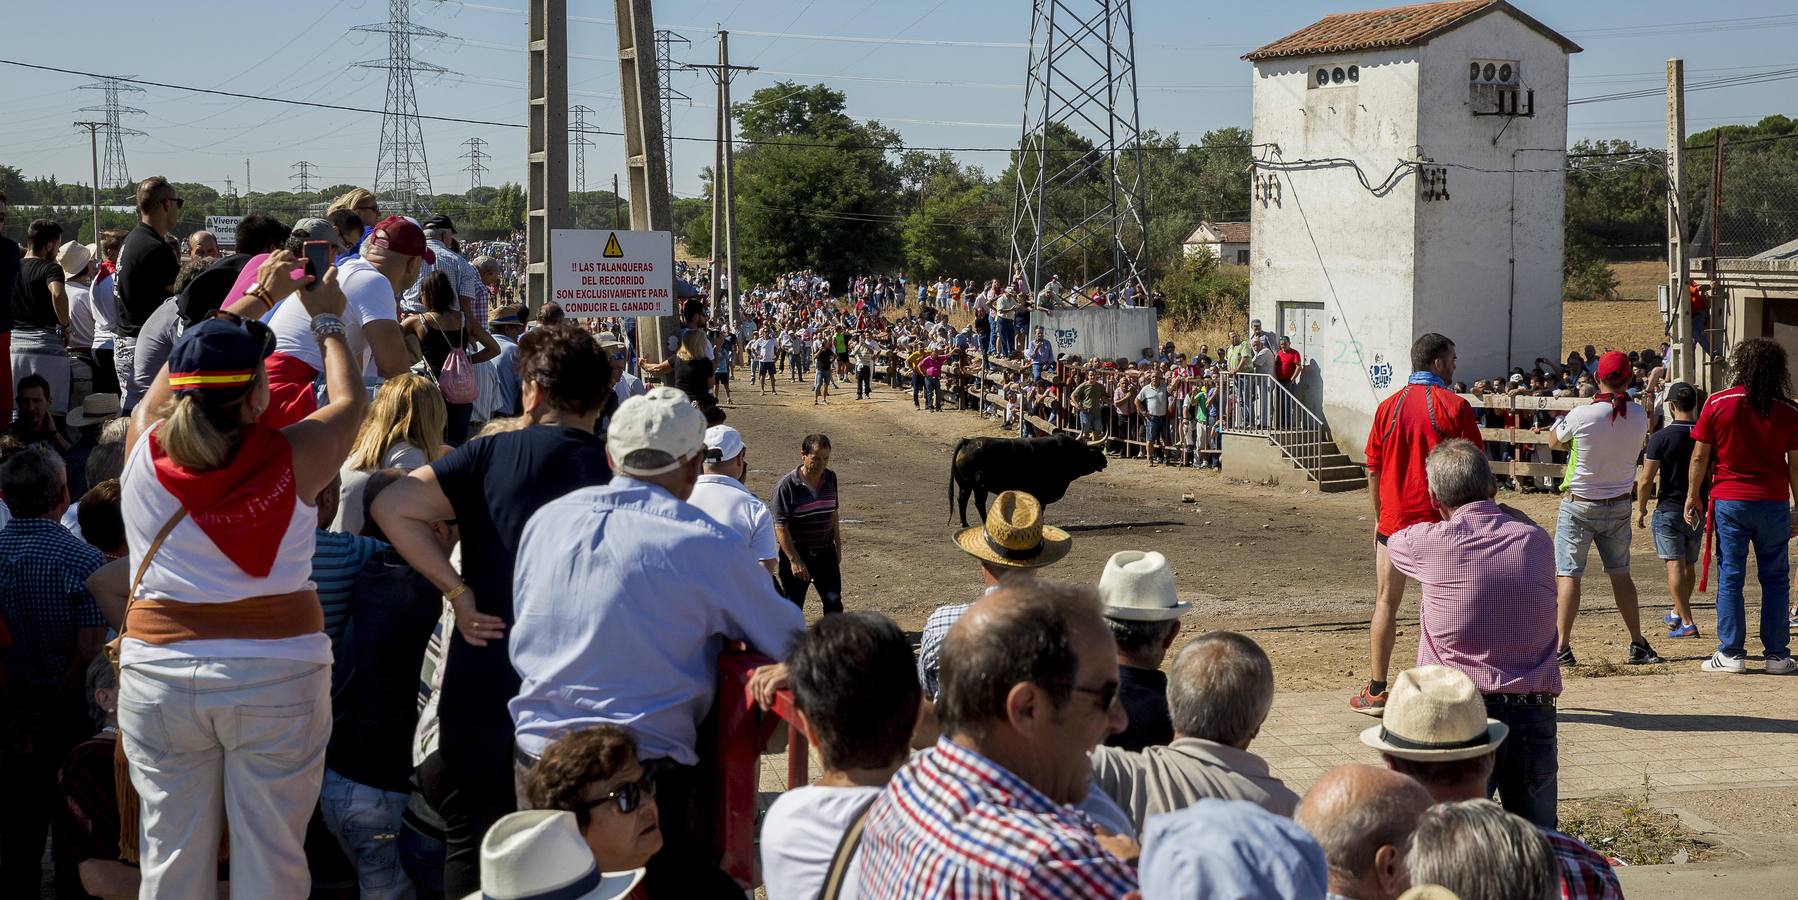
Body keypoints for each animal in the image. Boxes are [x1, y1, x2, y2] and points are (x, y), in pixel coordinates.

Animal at [949, 432, 1100, 524]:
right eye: (1094, 451)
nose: (1104, 460)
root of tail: (968, 441)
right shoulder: (1042, 493)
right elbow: (1040, 508)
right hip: (979, 486)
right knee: (978, 502)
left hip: (965, 484)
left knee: (962, 500)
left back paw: (965, 524)